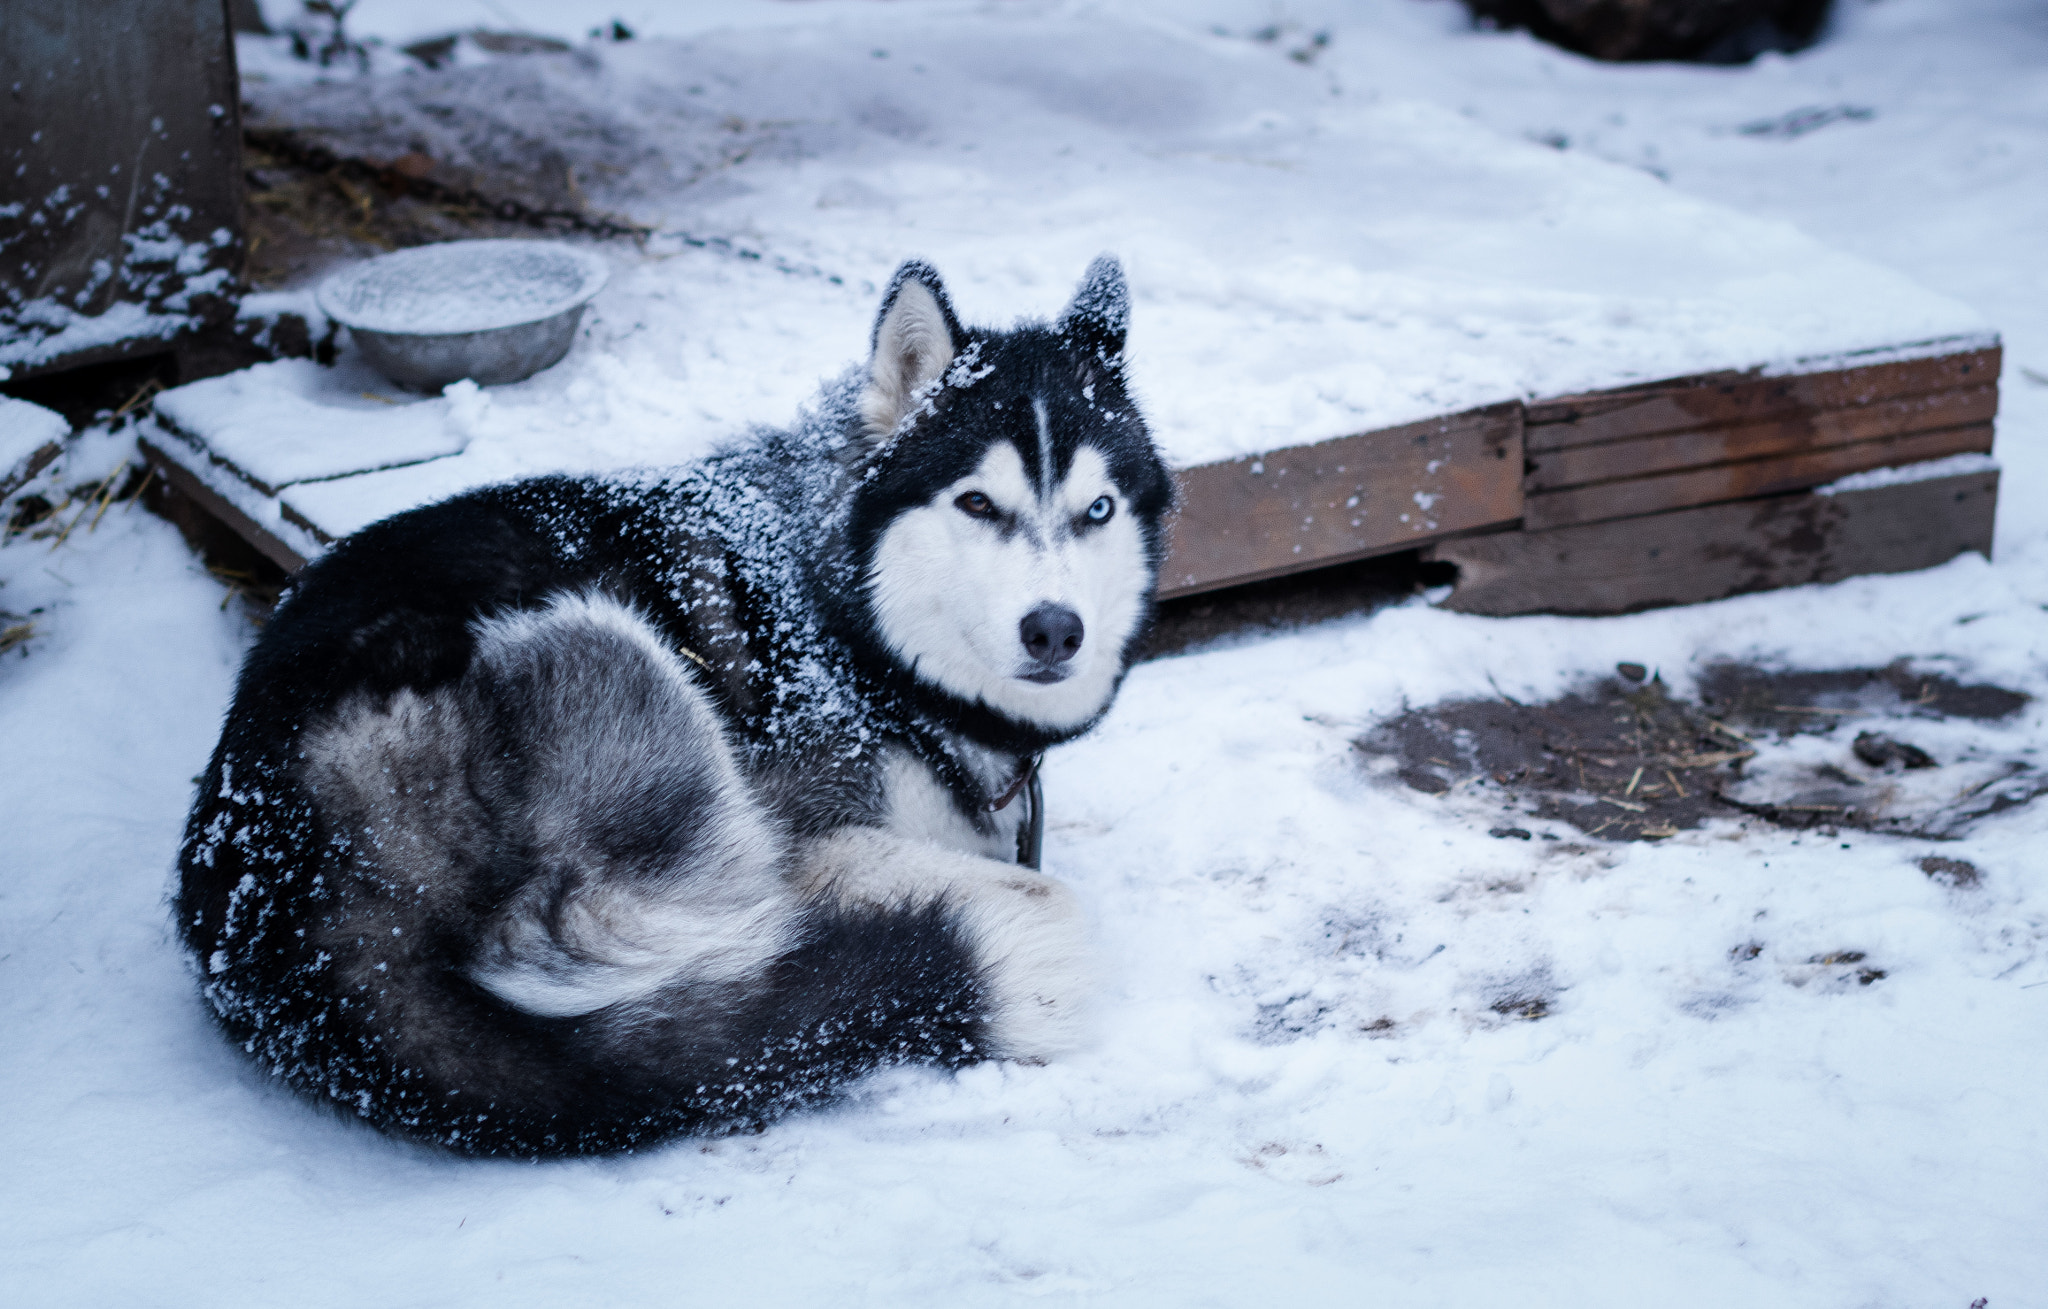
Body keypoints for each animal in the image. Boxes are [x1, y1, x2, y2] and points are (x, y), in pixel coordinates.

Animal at [180, 256, 1171, 1155]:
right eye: (976, 503)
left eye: (1097, 510)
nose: (1056, 629)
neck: (852, 631)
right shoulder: (804, 804)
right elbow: (1027, 881)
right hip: (608, 653)